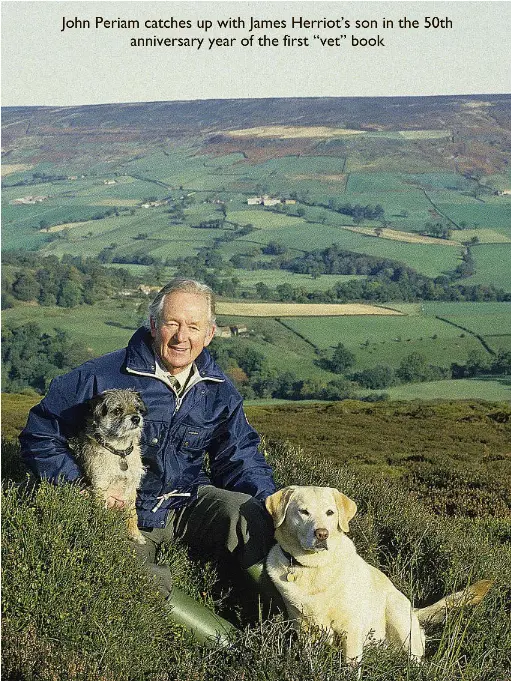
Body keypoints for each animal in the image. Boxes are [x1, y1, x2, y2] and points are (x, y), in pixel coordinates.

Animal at [266, 484, 490, 664]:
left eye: (330, 512)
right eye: (303, 512)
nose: (322, 534)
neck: (314, 568)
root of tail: (414, 611)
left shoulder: (351, 629)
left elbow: (350, 665)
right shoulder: (303, 628)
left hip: (397, 615)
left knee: (415, 659)